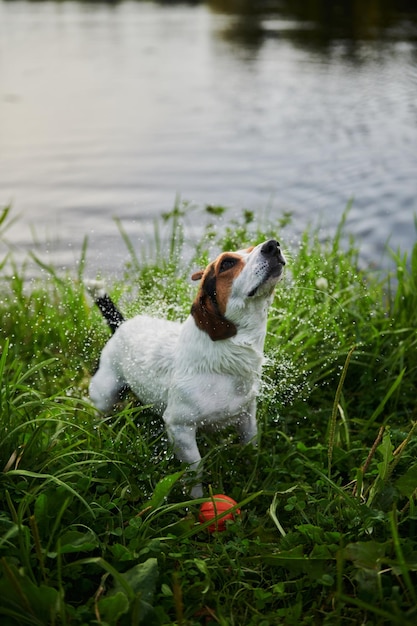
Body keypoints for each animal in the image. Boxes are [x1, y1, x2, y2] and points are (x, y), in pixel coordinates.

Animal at [86, 236, 284, 494]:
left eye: (251, 248)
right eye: (227, 263)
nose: (273, 244)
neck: (227, 356)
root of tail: (121, 324)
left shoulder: (246, 416)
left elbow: (251, 446)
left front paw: (253, 477)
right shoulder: (179, 427)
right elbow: (195, 470)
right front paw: (196, 500)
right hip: (105, 393)